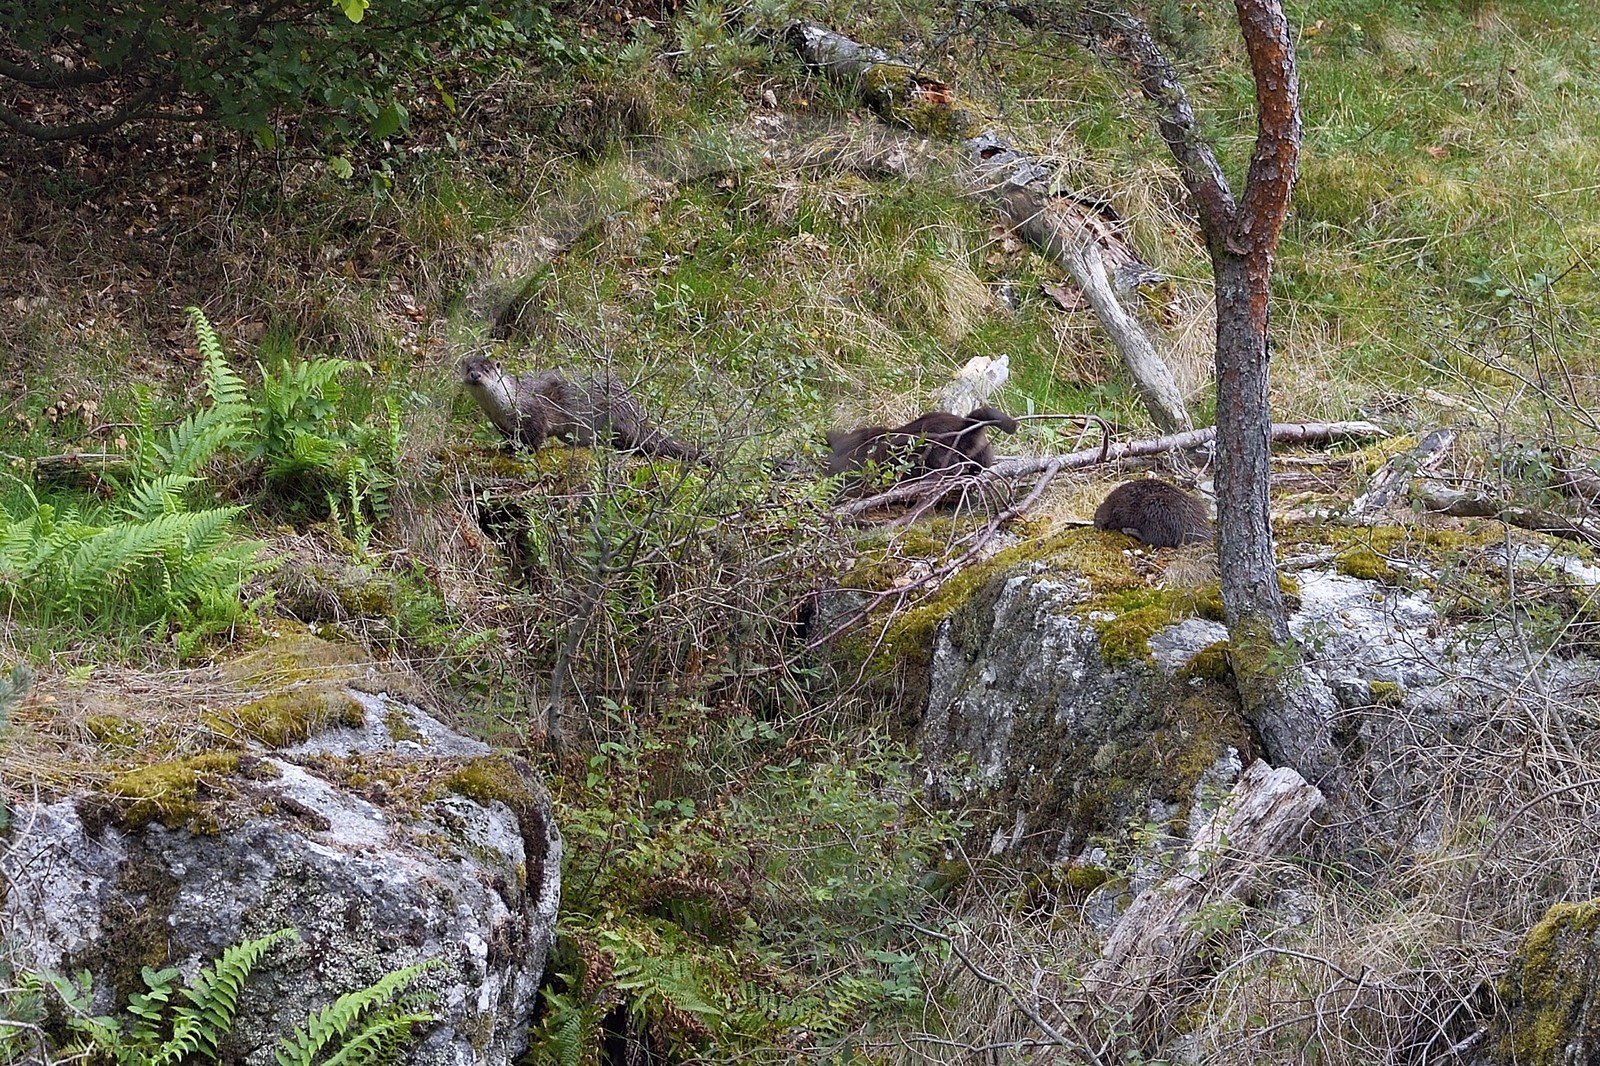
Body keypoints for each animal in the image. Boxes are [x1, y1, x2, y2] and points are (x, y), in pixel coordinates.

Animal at [459, 353, 702, 461]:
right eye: (469, 367)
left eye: (488, 369)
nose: (475, 375)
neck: (502, 407)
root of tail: (633, 408)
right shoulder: (501, 424)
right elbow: (511, 438)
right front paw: (507, 449)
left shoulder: (533, 412)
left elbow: (535, 437)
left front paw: (523, 453)